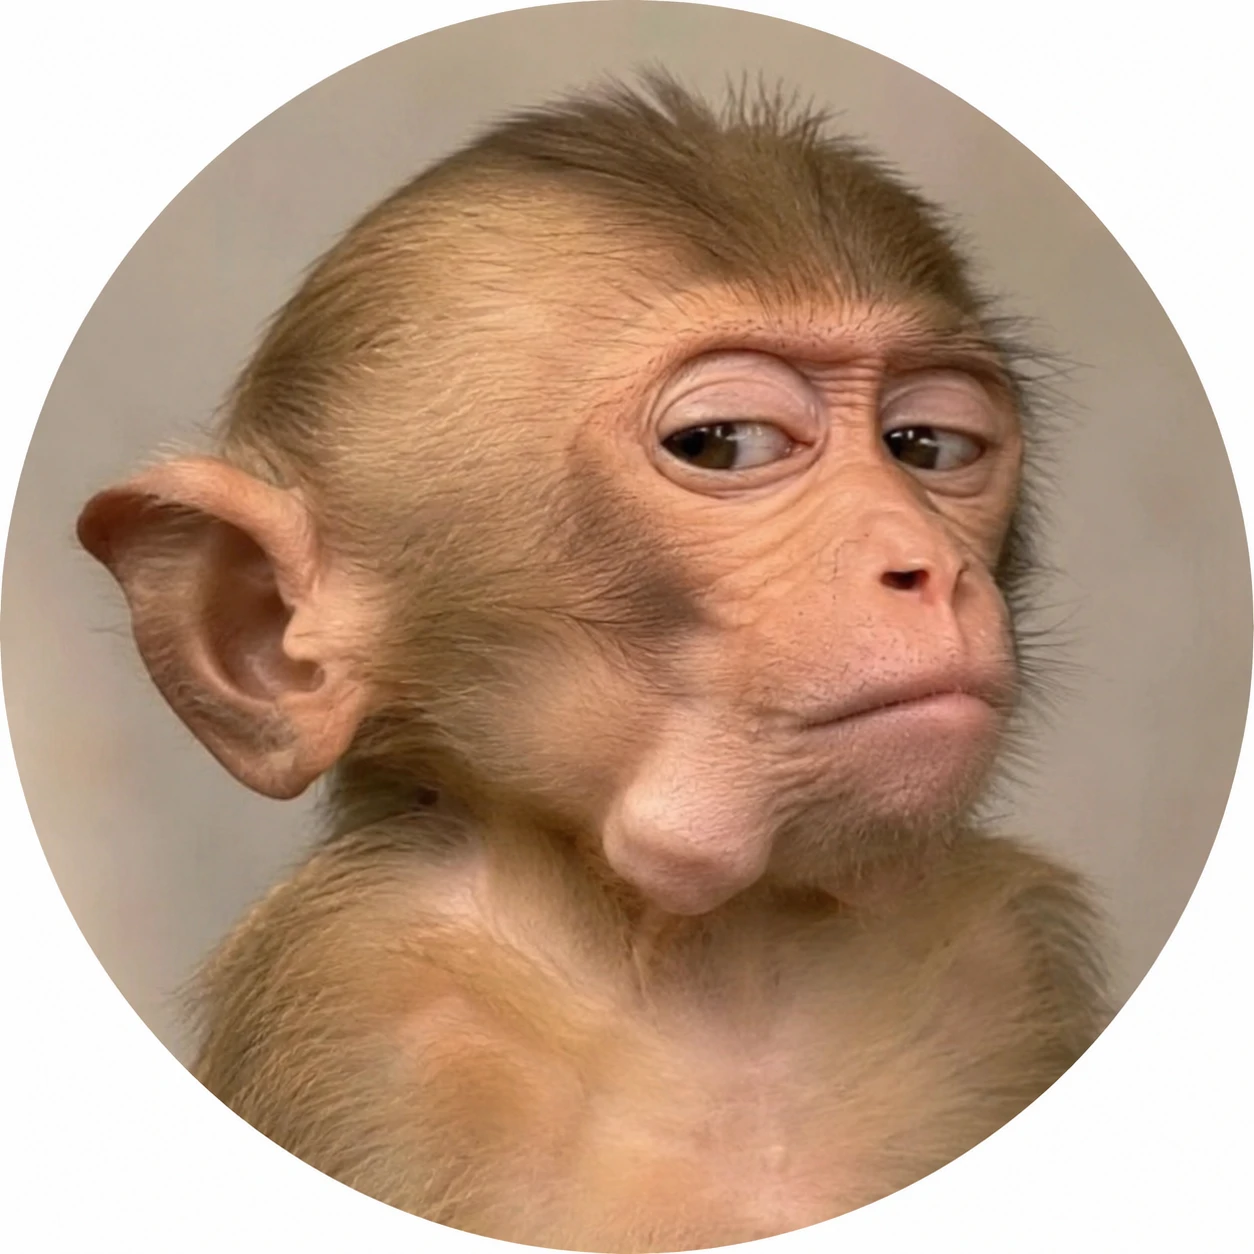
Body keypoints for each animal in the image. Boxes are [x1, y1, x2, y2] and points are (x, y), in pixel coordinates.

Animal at [77, 75, 1108, 1251]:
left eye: (929, 447)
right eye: (724, 442)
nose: (929, 566)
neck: (709, 967)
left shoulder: (1002, 967)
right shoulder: (363, 1005)